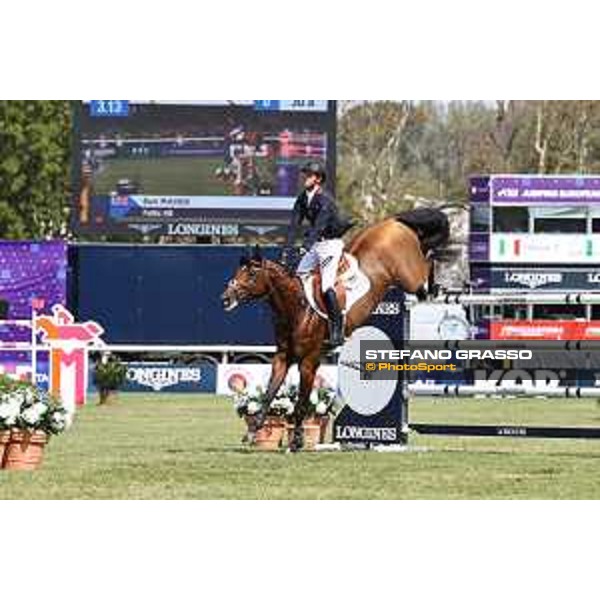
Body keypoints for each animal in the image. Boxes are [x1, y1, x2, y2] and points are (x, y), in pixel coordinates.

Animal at [221, 209, 450, 448]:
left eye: (251, 274)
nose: (226, 298)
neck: (297, 308)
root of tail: (392, 221)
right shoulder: (282, 358)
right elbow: (269, 394)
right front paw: (253, 431)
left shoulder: (309, 362)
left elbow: (301, 403)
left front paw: (297, 441)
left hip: (410, 278)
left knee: (427, 268)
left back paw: (437, 282)